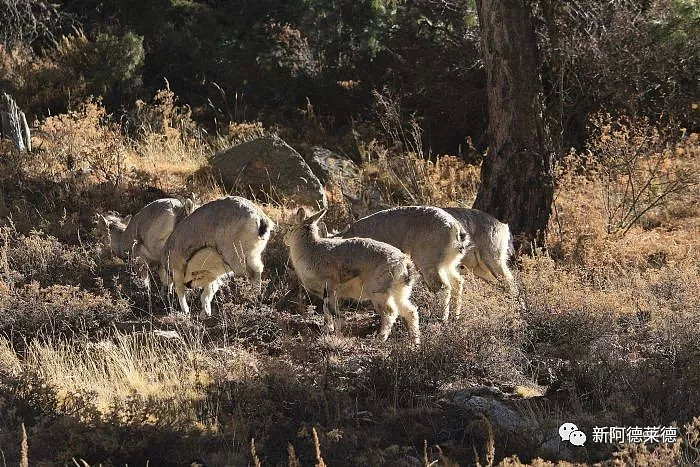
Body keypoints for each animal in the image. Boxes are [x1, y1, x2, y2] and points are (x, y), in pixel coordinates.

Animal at [286, 208, 422, 344]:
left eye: (290, 226)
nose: (285, 238)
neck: (311, 249)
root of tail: (404, 261)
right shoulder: (330, 293)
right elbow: (326, 310)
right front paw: (327, 329)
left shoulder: (329, 286)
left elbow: (333, 312)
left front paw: (336, 335)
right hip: (399, 293)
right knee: (411, 311)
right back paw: (415, 341)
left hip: (379, 293)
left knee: (390, 313)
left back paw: (380, 338)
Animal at [340, 207, 470, 322]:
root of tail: (455, 227)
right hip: (447, 265)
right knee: (458, 282)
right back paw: (455, 316)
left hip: (428, 264)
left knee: (444, 286)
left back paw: (442, 318)